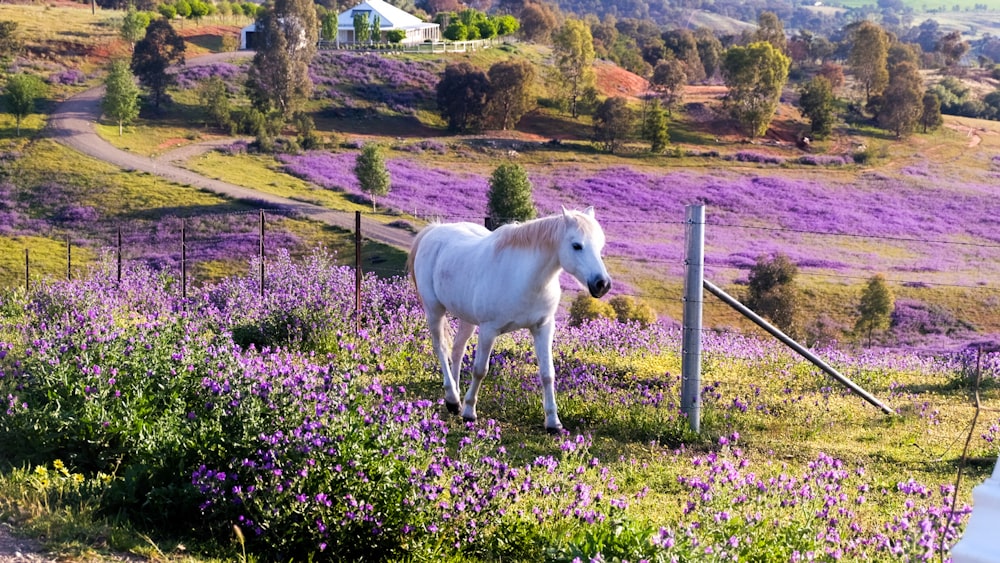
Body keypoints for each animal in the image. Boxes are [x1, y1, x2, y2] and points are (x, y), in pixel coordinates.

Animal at [404, 207, 608, 432]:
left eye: (600, 245)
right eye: (576, 245)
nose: (602, 284)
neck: (525, 278)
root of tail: (433, 230)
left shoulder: (543, 328)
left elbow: (548, 374)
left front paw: (553, 422)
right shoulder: (488, 330)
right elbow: (480, 370)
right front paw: (469, 412)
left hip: (467, 319)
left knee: (456, 350)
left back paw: (455, 399)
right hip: (434, 310)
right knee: (441, 348)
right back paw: (452, 399)